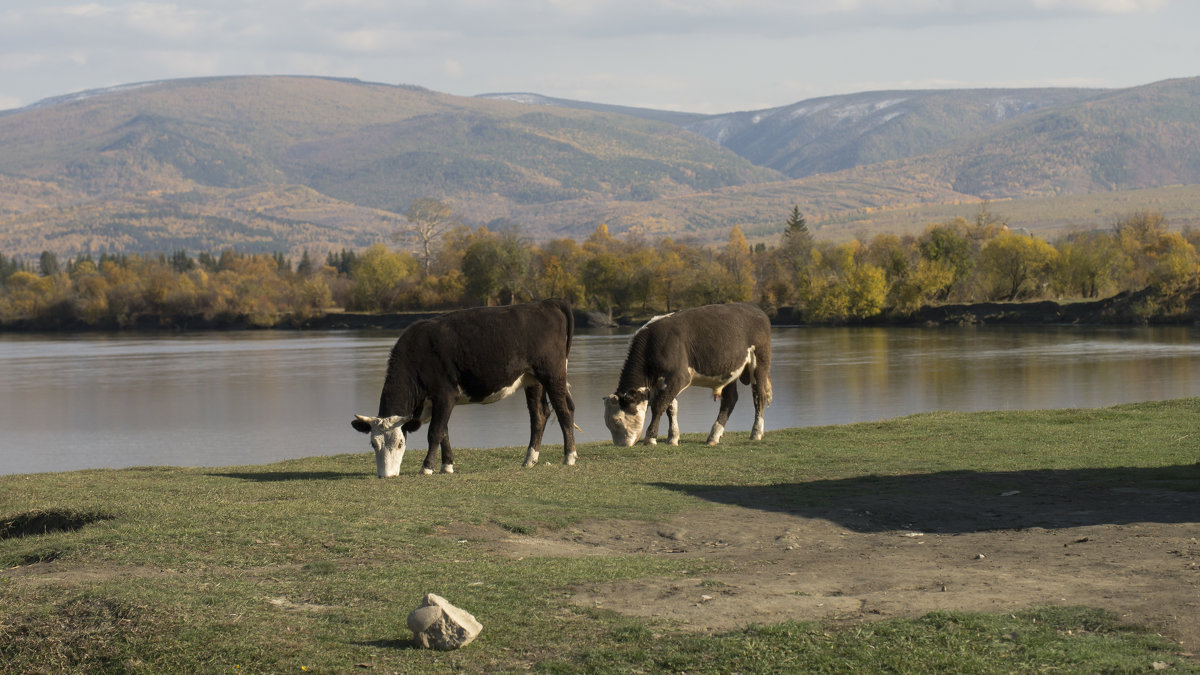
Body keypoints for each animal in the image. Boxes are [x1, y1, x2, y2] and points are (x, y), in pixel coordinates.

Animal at [350, 296, 576, 475]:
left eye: (400, 443)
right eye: (373, 443)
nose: (386, 475)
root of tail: (548, 303)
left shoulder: (445, 395)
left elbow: (434, 432)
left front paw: (427, 467)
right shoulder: (438, 403)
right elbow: (444, 433)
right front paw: (447, 466)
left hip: (553, 375)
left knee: (564, 411)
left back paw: (569, 457)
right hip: (532, 380)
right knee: (539, 415)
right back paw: (530, 459)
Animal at [604, 303, 772, 449]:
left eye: (617, 421)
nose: (621, 446)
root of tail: (755, 308)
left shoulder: (678, 377)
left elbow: (659, 406)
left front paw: (650, 438)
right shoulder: (665, 382)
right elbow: (671, 408)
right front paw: (672, 438)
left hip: (759, 362)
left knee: (759, 396)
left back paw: (756, 433)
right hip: (729, 371)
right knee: (729, 400)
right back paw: (714, 436)